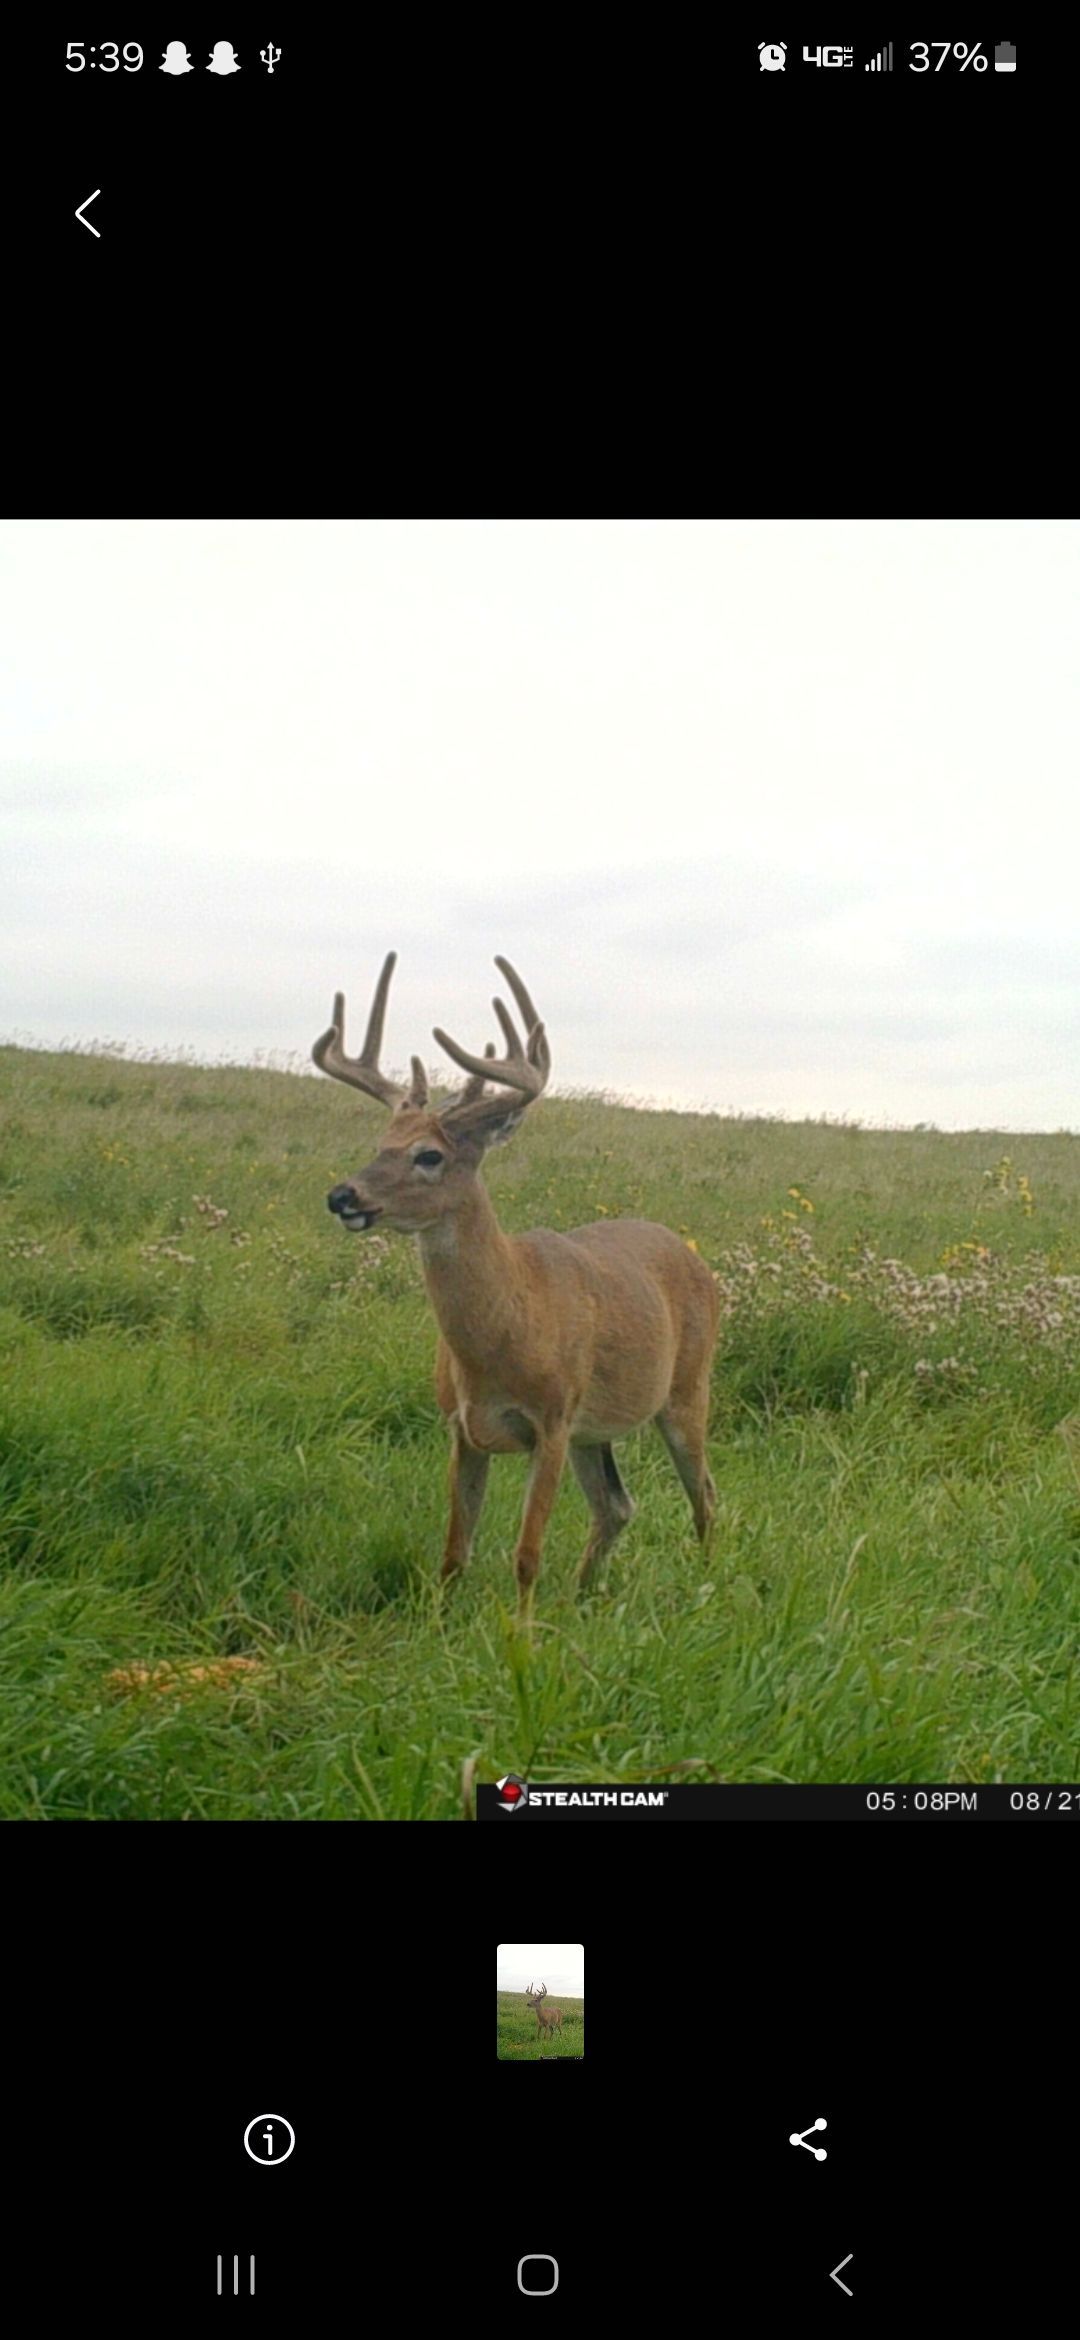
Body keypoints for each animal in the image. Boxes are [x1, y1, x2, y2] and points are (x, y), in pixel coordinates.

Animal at [313, 952, 719, 1608]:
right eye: (382, 1143)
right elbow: (454, 1552)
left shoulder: (550, 1420)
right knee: (616, 1506)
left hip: (685, 1389)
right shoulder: (461, 1427)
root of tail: (694, 1256)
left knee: (704, 1494)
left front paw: (521, 1633)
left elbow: (526, 1556)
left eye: (429, 1155)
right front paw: (442, 1622)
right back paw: (580, 1600)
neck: (508, 1325)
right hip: (592, 1429)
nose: (342, 1195)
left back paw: (706, 1586)